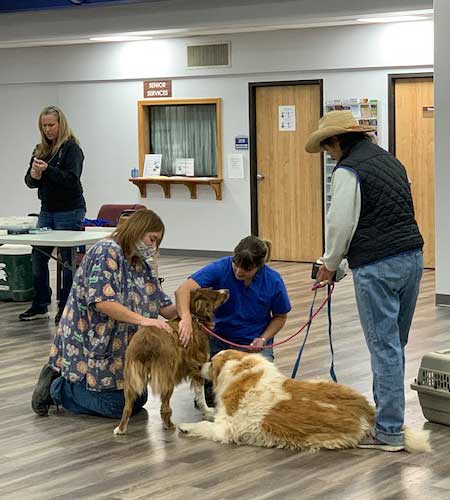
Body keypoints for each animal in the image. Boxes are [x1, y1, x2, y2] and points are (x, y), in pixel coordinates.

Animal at [112, 288, 229, 436]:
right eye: (214, 295)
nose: (227, 290)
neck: (195, 318)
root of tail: (146, 341)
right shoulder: (198, 367)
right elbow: (200, 396)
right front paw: (208, 412)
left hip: (131, 378)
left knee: (127, 407)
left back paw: (120, 429)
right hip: (167, 378)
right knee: (165, 407)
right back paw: (170, 425)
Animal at [178, 348, 430, 454]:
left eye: (211, 361)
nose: (199, 366)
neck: (243, 372)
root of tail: (366, 410)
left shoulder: (225, 429)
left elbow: (203, 425)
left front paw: (185, 426)